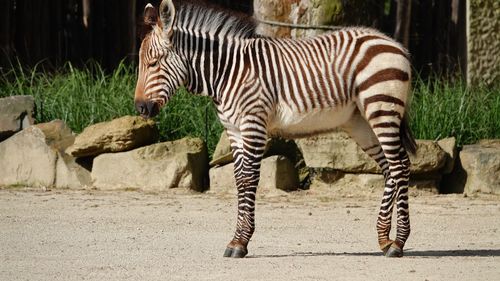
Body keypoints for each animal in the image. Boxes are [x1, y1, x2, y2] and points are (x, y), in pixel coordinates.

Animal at [134, 0, 418, 258]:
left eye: (154, 63)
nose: (140, 108)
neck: (227, 73)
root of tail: (394, 44)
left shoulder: (253, 125)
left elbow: (249, 179)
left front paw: (240, 243)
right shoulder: (234, 131)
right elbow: (239, 180)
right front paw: (237, 240)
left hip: (382, 108)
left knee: (400, 165)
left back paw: (398, 244)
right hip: (361, 122)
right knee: (390, 167)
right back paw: (384, 239)